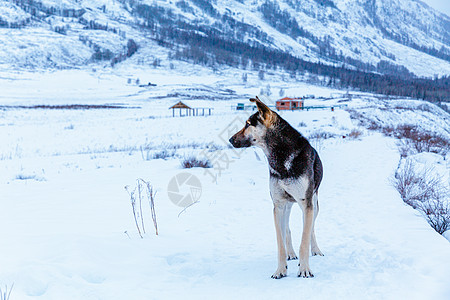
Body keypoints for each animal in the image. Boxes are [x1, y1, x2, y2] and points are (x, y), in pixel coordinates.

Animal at [229, 96, 324, 278]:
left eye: (247, 124)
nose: (230, 140)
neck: (281, 158)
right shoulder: (278, 205)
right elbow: (280, 242)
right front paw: (280, 269)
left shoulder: (306, 203)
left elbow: (305, 238)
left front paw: (305, 269)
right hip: (287, 206)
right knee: (287, 230)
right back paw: (291, 254)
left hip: (314, 205)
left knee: (311, 229)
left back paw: (315, 250)